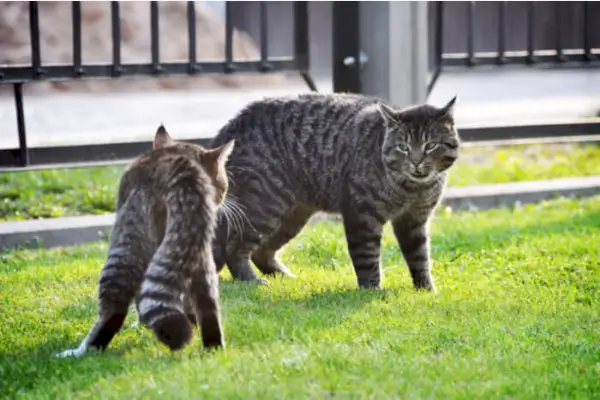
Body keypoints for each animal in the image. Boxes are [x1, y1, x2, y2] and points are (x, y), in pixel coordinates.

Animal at [56, 125, 234, 356]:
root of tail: (180, 169)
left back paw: (85, 350)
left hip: (127, 243)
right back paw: (213, 346)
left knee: (114, 310)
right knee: (207, 302)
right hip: (195, 248)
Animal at [211, 92, 460, 292]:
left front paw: (426, 289)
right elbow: (366, 256)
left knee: (261, 251)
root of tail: (234, 123)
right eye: (403, 147)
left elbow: (419, 257)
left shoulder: (414, 220)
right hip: (264, 206)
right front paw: (371, 290)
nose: (416, 162)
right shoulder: (362, 214)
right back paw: (250, 280)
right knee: (234, 248)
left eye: (430, 145)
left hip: (291, 216)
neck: (414, 188)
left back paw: (284, 276)